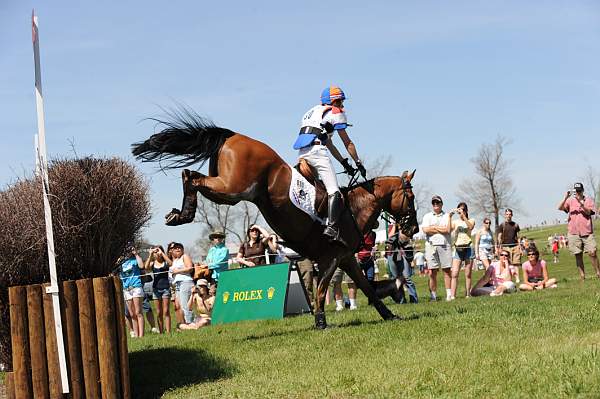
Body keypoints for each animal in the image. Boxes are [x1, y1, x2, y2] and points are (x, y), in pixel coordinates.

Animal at [133, 109, 420, 328]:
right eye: (411, 197)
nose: (414, 228)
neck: (354, 208)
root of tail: (233, 134)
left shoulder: (346, 257)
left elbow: (367, 287)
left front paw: (389, 314)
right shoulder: (332, 257)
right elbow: (321, 289)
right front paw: (320, 321)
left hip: (229, 191)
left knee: (190, 174)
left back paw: (180, 214)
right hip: (234, 187)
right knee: (190, 176)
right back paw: (183, 214)